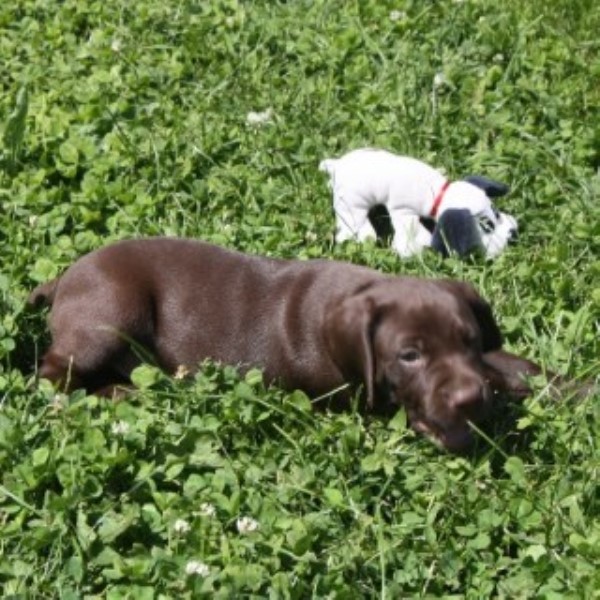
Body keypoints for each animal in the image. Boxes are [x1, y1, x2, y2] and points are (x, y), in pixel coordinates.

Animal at [28, 237, 544, 452]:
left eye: (470, 341)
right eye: (410, 356)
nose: (471, 399)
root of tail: (63, 279)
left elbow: (510, 366)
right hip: (111, 312)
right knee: (51, 376)